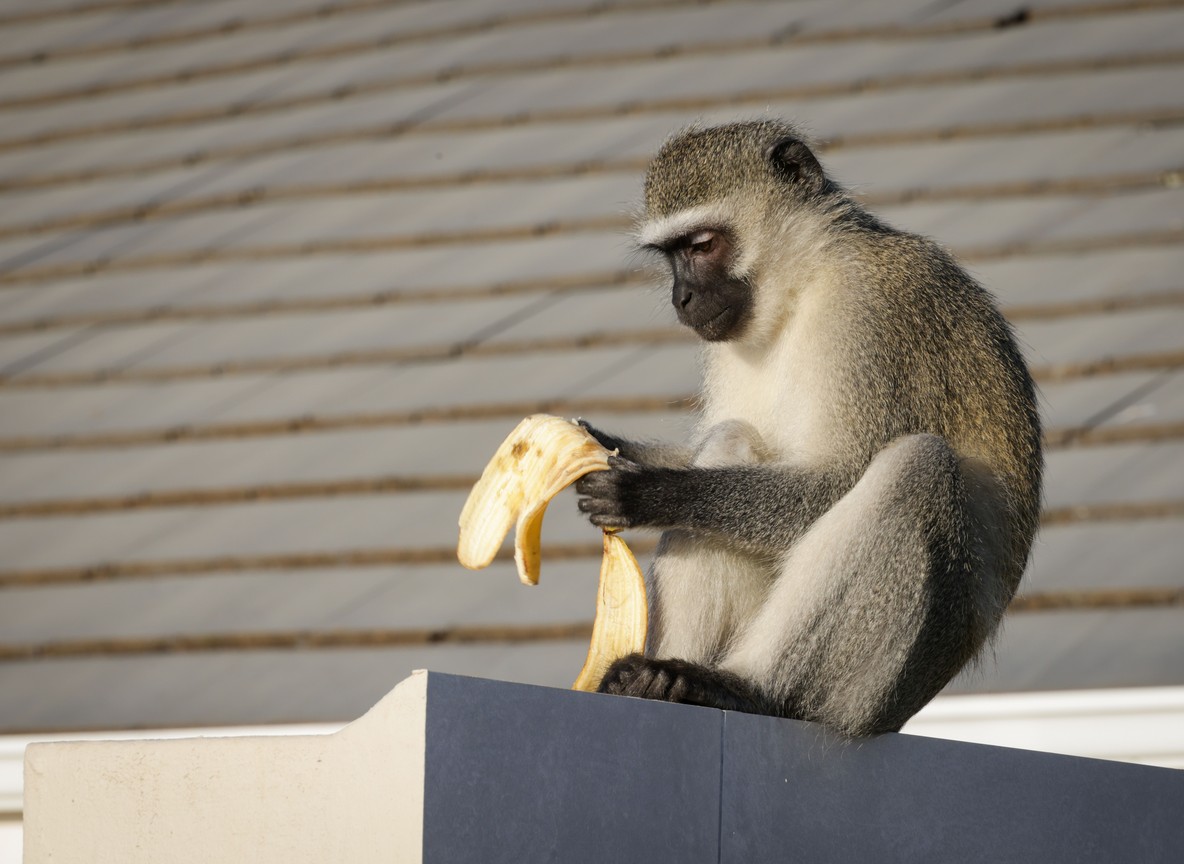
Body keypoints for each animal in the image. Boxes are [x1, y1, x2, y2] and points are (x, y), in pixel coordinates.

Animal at [574, 119, 1043, 737]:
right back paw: (656, 680)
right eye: (670, 255)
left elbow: (838, 478)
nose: (683, 297)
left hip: (876, 693)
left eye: (701, 245)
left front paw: (648, 491)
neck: (803, 281)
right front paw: (609, 447)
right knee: (732, 439)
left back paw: (743, 688)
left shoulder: (866, 313)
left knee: (916, 470)